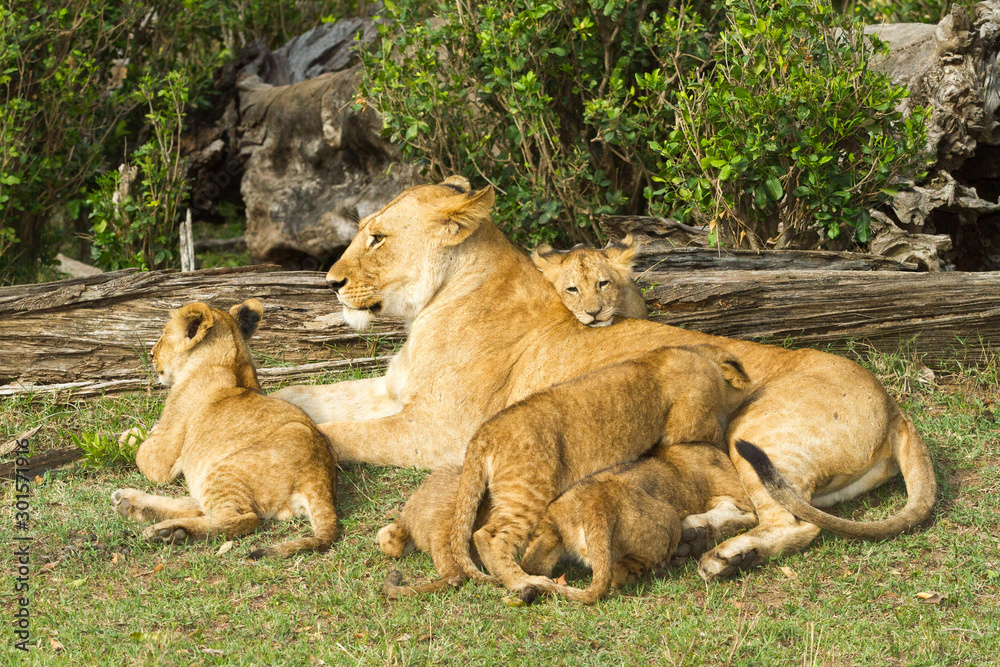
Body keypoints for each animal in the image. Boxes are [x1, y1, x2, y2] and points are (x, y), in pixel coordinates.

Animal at [112, 299, 338, 559]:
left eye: (164, 334)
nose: (151, 355)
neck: (231, 358)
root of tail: (319, 478)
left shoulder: (160, 457)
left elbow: (141, 450)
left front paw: (124, 438)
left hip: (225, 469)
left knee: (241, 518)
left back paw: (169, 532)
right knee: (197, 508)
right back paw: (129, 503)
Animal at [519, 442, 755, 604]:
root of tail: (598, 501)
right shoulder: (738, 496)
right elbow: (745, 517)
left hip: (552, 521)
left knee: (532, 564)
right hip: (669, 523)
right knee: (621, 574)